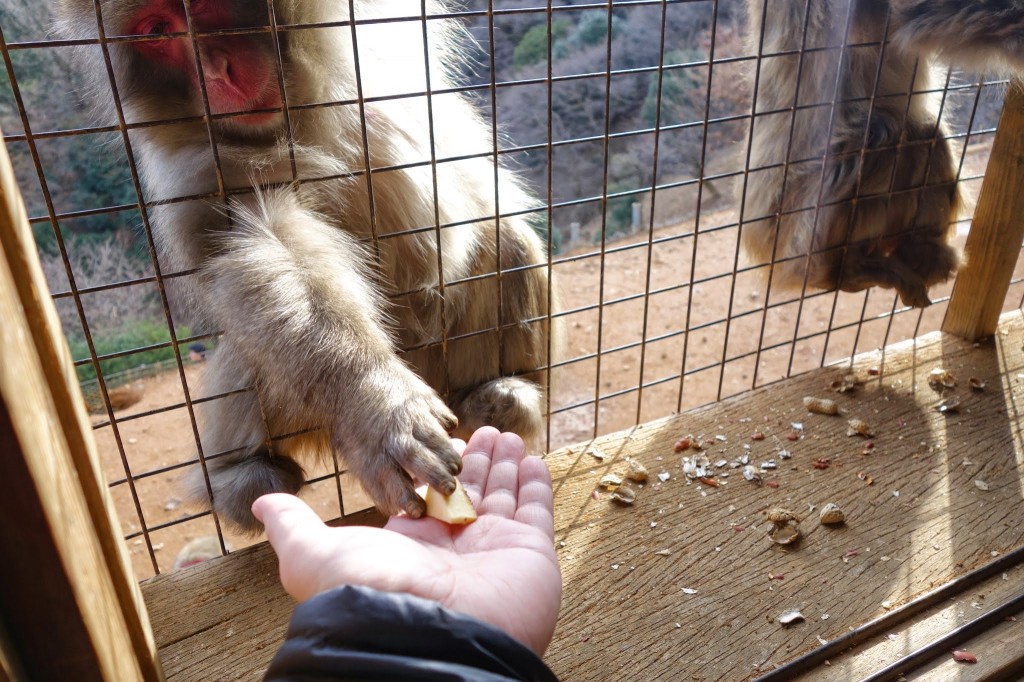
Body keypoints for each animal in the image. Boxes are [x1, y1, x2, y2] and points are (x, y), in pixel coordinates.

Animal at [51, 0, 557, 532]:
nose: (216, 72)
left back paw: (503, 398)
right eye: (157, 31)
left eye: (208, 8)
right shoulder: (206, 164)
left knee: (504, 241)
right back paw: (239, 479)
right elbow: (265, 239)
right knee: (254, 337)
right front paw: (373, 401)